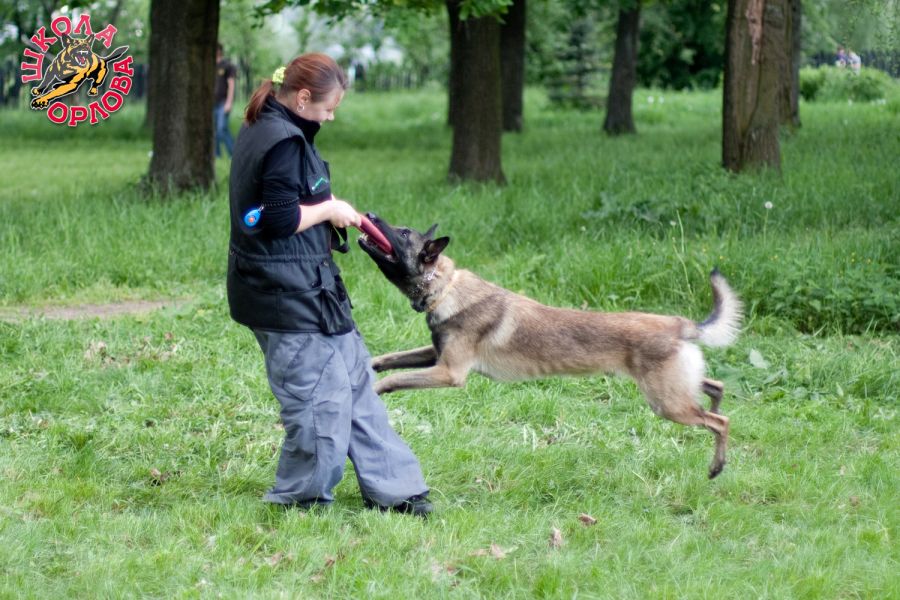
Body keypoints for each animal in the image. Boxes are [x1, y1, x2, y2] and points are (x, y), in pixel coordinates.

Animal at [358, 214, 744, 479]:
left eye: (402, 234)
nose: (371, 215)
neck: (445, 286)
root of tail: (681, 324)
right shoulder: (436, 356)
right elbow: (388, 360)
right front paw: (368, 369)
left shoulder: (449, 372)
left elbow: (394, 379)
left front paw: (373, 391)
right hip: (674, 390)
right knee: (715, 387)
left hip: (666, 403)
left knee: (721, 421)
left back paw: (717, 466)